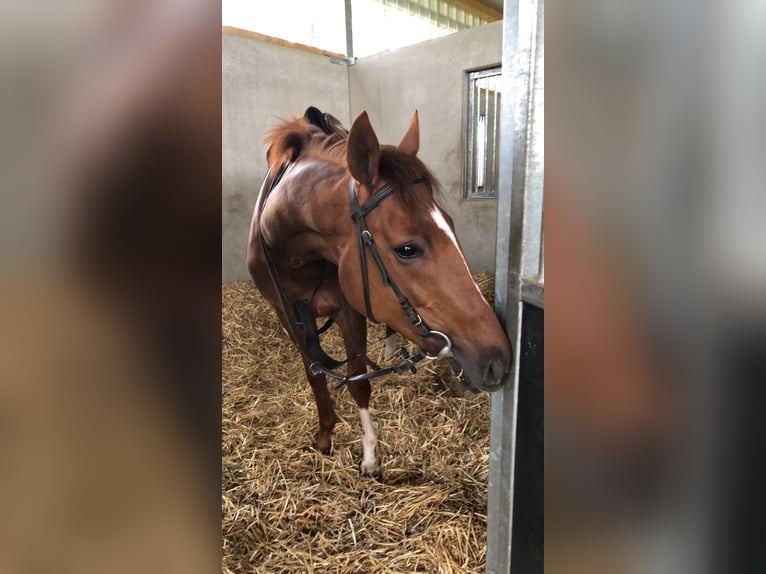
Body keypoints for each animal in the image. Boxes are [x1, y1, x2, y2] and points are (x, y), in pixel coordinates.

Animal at [248, 108, 510, 476]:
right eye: (407, 249)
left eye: (451, 225)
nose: (499, 361)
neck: (291, 250)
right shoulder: (286, 315)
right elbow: (315, 375)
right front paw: (325, 435)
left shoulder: (349, 308)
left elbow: (358, 381)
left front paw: (369, 456)